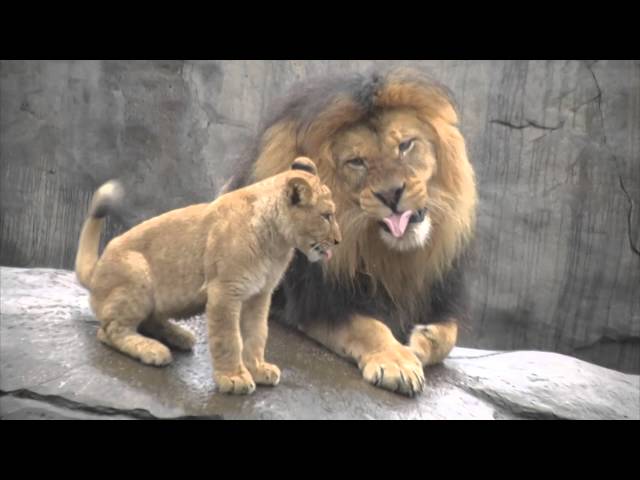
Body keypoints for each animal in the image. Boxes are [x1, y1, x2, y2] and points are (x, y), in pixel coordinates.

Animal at [229, 68, 476, 398]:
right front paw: (396, 362)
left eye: (406, 145)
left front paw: (424, 340)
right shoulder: (317, 302)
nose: (391, 194)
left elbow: (451, 333)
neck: (390, 256)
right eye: (356, 161)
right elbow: (368, 327)